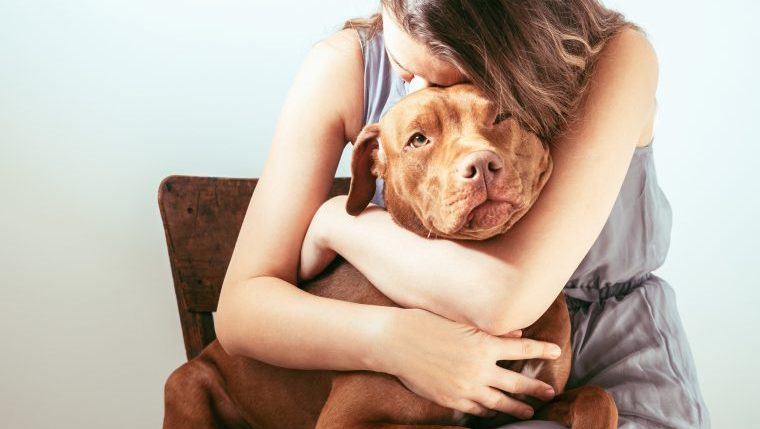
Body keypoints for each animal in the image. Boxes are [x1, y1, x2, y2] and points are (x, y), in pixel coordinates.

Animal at [162, 83, 616, 428]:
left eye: (501, 117)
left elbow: (599, 396)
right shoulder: (349, 420)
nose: (482, 164)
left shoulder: (530, 401)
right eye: (418, 139)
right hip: (185, 383)